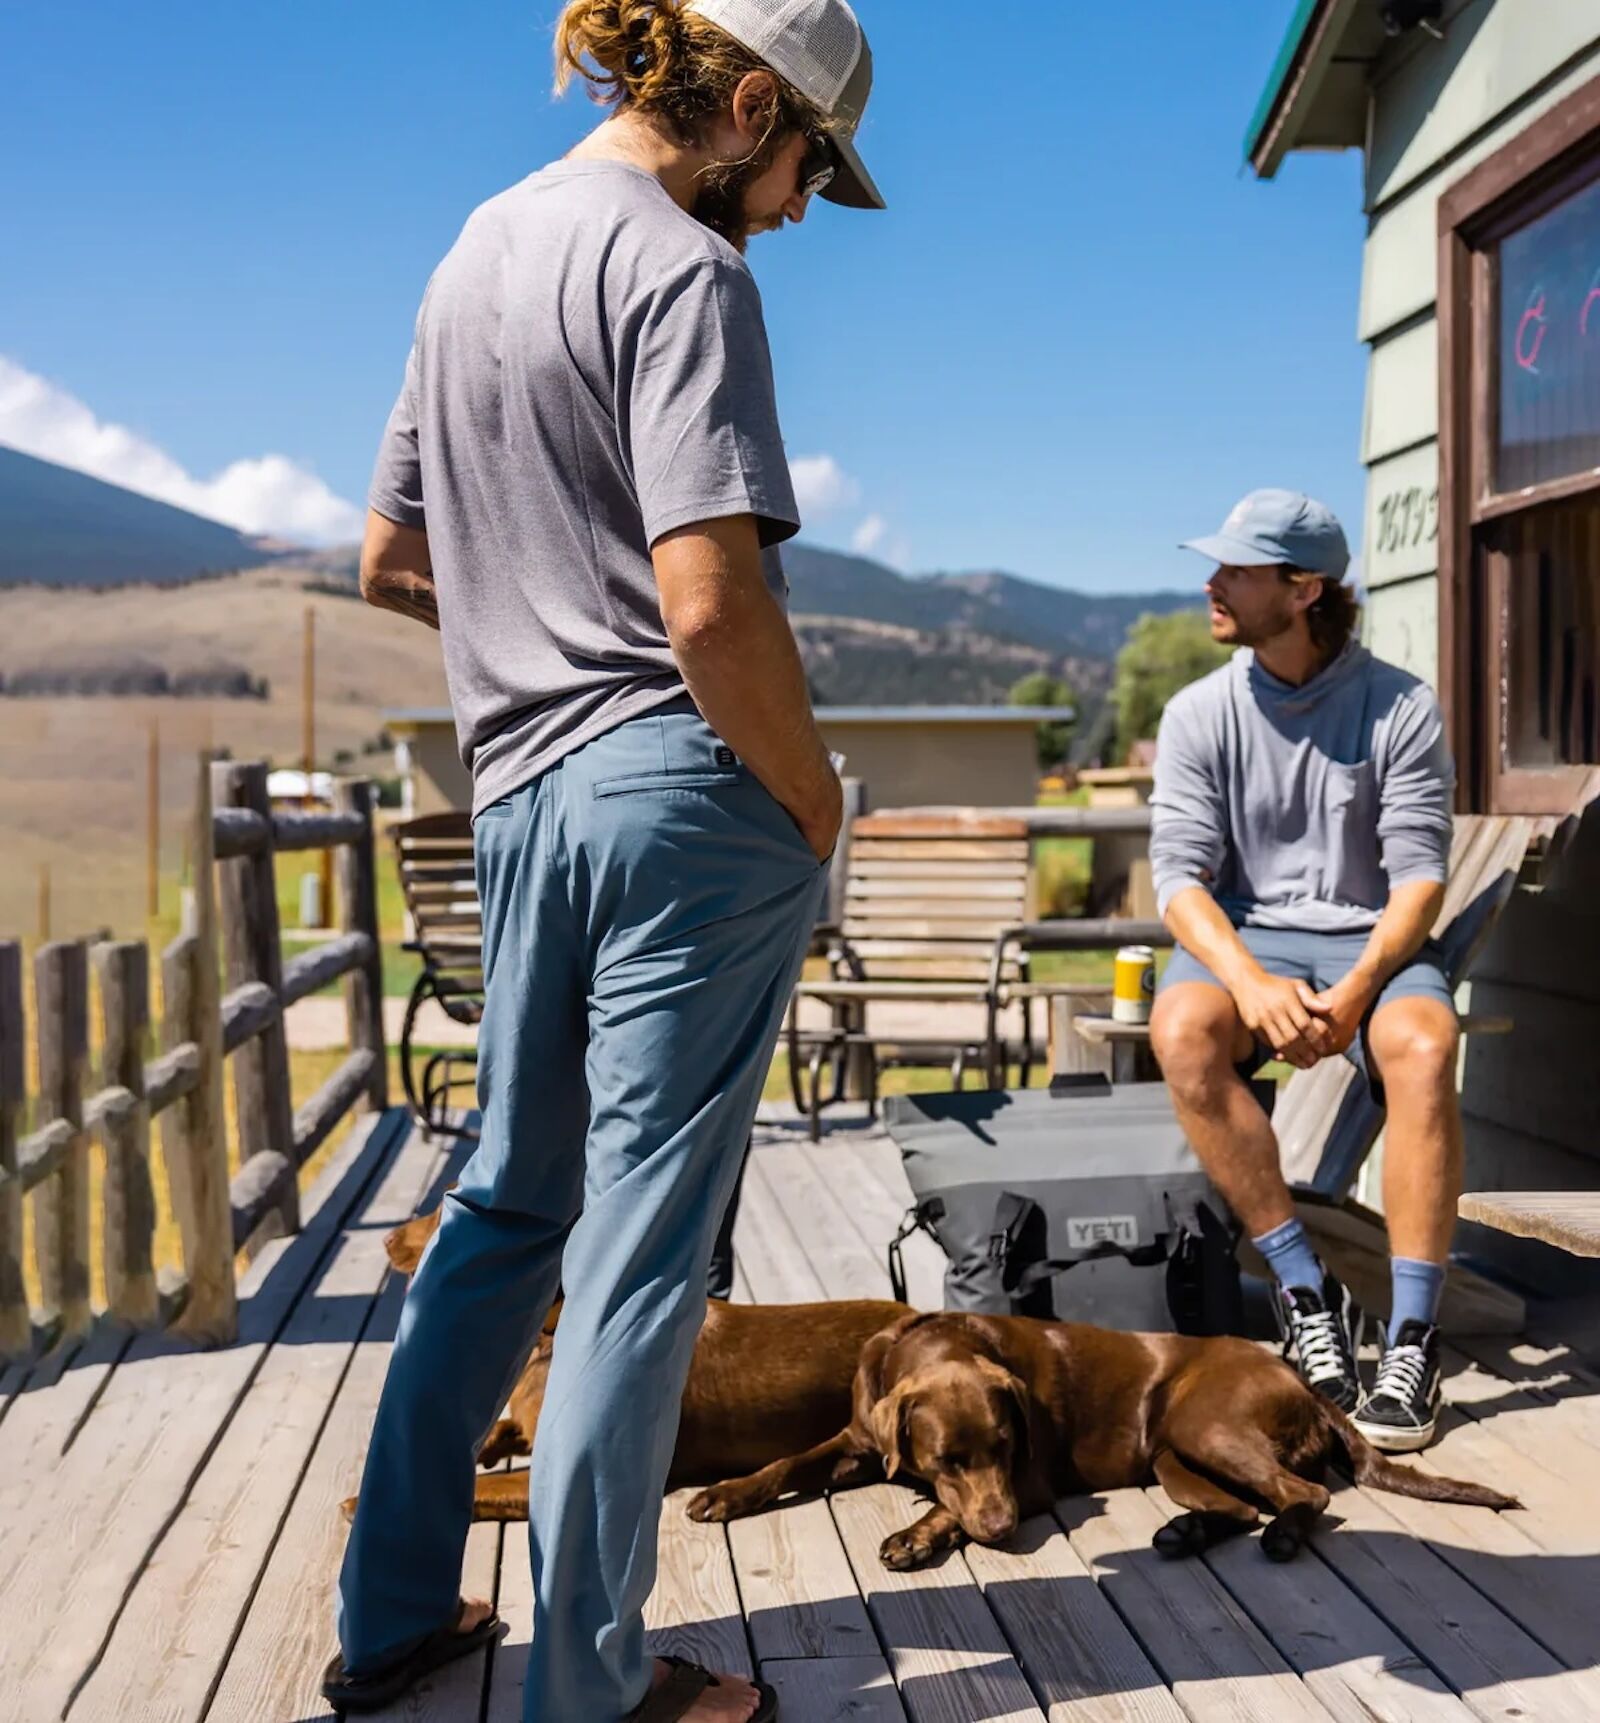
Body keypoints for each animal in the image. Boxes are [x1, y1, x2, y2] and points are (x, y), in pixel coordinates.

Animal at [365, 1199, 909, 1523]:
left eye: (449, 1212)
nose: (386, 1239)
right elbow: (500, 1433)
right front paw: (486, 1447)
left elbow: (483, 1490)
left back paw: (724, 1496)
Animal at [682, 1309, 1515, 1571]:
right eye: (947, 1456)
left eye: (1004, 1448)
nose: (1002, 1530)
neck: (932, 1342)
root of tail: (1302, 1380)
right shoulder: (861, 1435)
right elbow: (791, 1457)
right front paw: (725, 1491)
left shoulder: (1028, 1480)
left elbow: (950, 1508)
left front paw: (917, 1536)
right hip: (1175, 1452)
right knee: (1240, 1507)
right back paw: (1185, 1532)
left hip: (1205, 1423)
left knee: (1300, 1494)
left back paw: (1280, 1536)